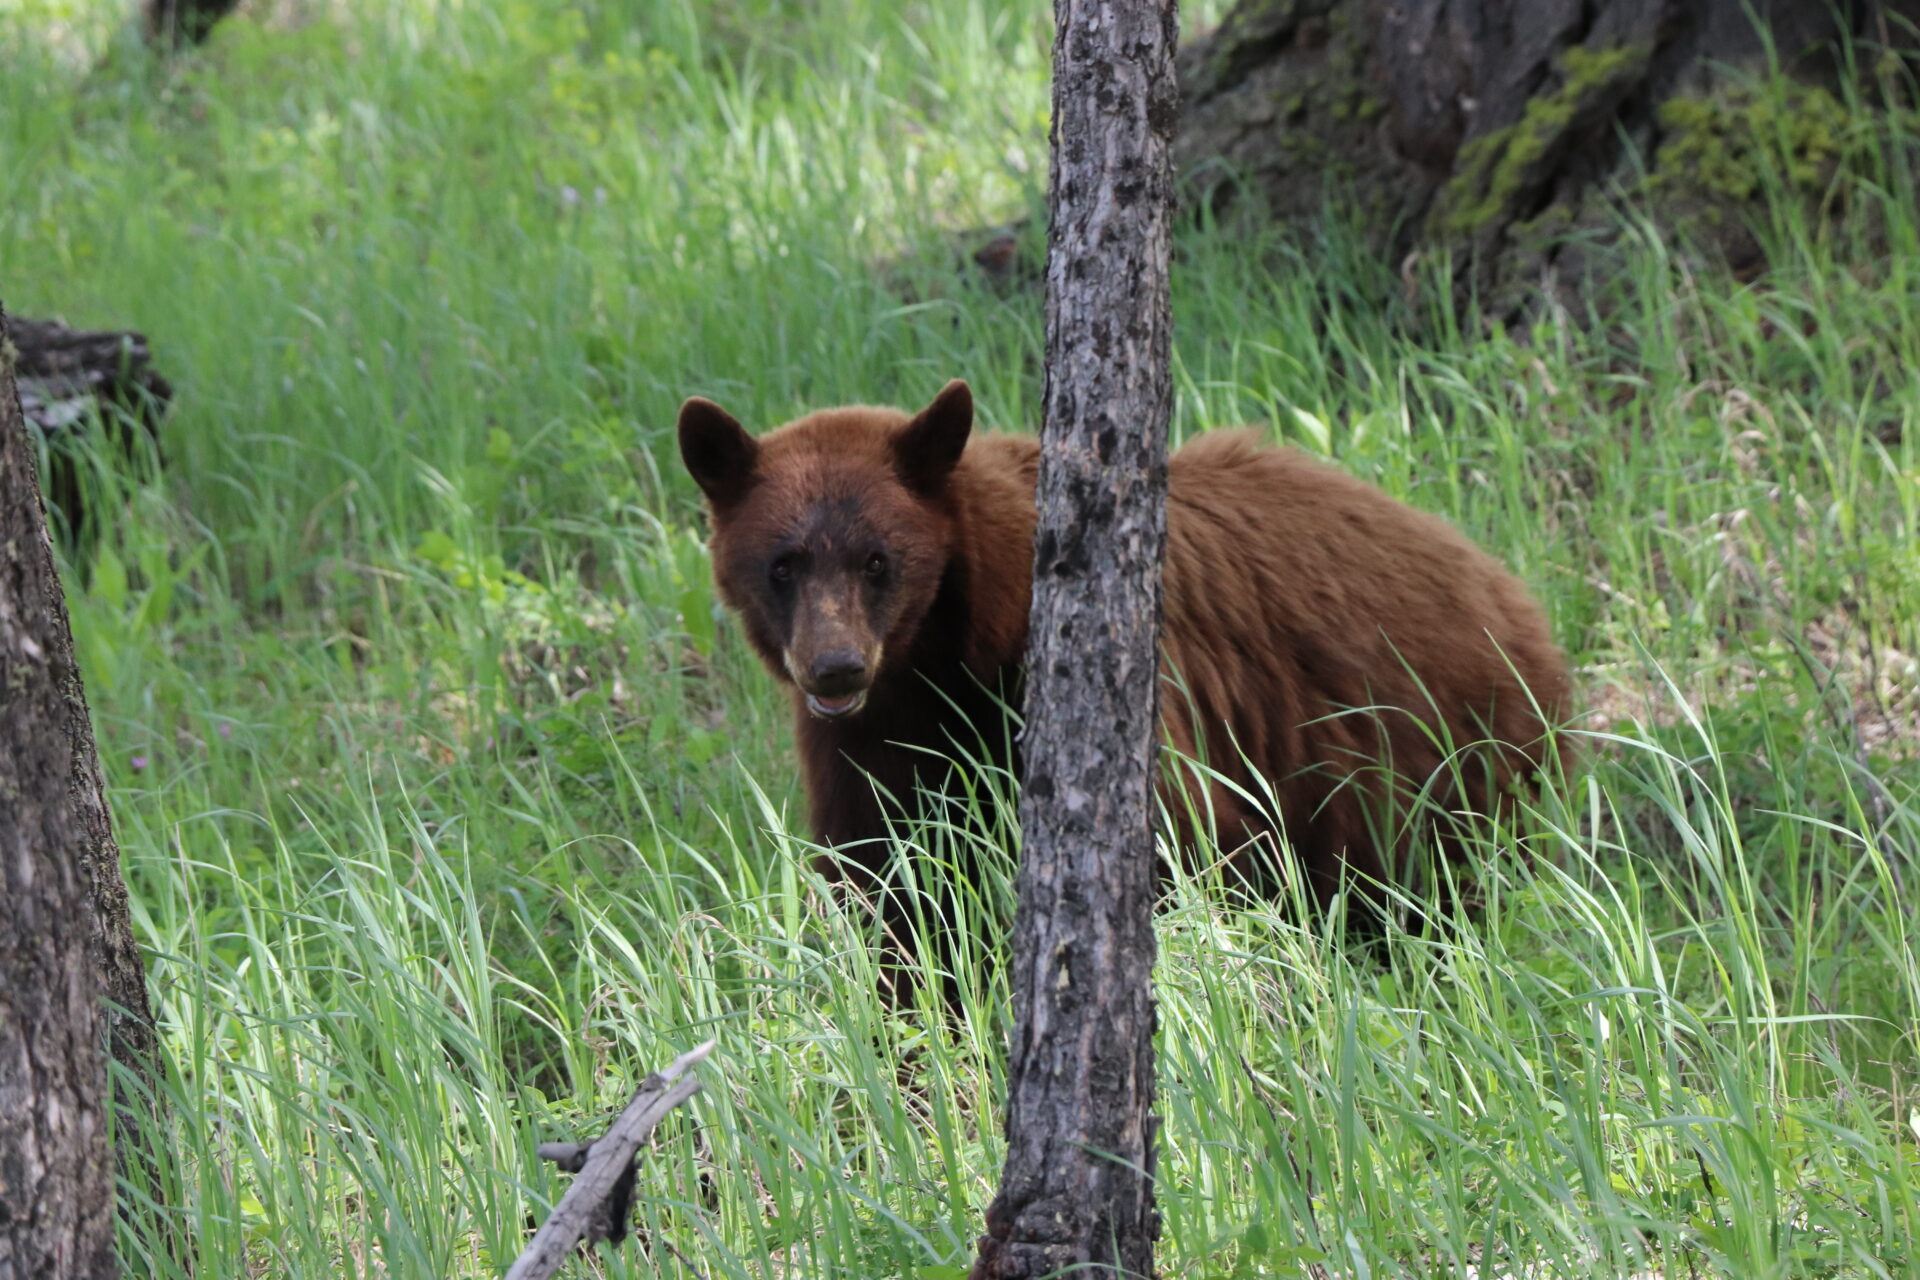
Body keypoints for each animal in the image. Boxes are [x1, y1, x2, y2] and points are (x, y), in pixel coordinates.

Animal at [683, 376, 1566, 990]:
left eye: (877, 560)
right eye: (783, 564)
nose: (835, 666)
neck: (936, 668)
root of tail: (1505, 588)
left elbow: (1179, 846)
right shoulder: (866, 751)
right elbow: (897, 897)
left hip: (1444, 760)